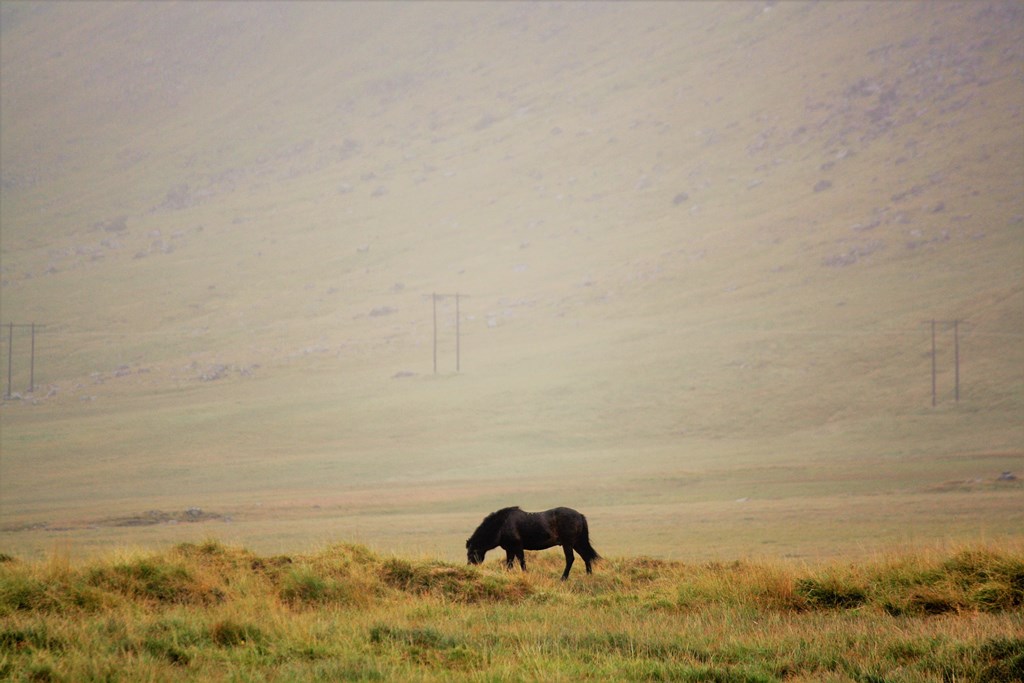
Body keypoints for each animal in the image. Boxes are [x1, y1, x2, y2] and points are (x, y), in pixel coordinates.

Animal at [466, 505, 598, 581]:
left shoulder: (517, 547)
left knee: (570, 559)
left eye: (471, 553)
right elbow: (509, 564)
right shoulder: (509, 549)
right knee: (586, 556)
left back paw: (563, 578)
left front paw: (525, 575)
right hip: (577, 543)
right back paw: (588, 575)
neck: (502, 525)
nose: (469, 568)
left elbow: (522, 562)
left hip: (568, 543)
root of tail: (580, 515)